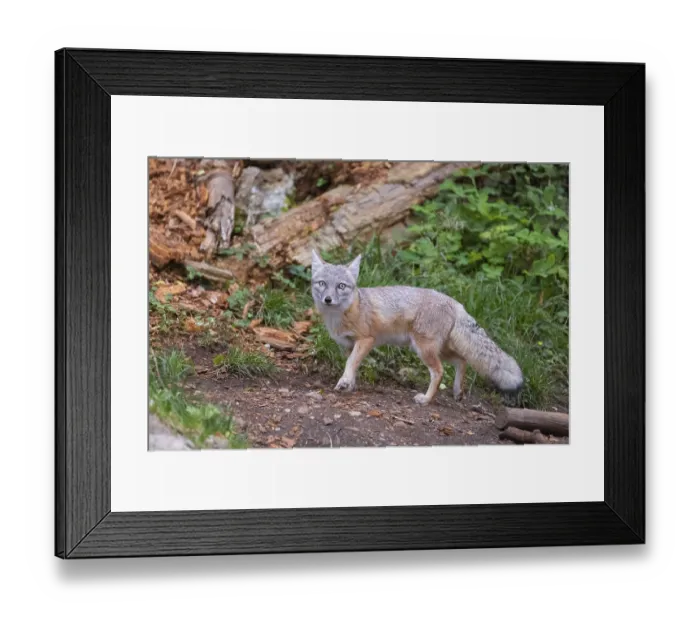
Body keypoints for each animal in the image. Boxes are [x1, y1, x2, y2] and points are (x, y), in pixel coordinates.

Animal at [310, 249, 524, 405]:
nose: (328, 299)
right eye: (322, 283)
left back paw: (426, 399)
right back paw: (457, 392)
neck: (341, 316)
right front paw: (349, 384)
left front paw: (345, 382)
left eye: (341, 286)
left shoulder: (366, 340)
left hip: (424, 349)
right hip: (437, 349)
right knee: (462, 361)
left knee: (439, 372)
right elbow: (352, 365)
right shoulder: (348, 345)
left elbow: (350, 364)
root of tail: (454, 302)